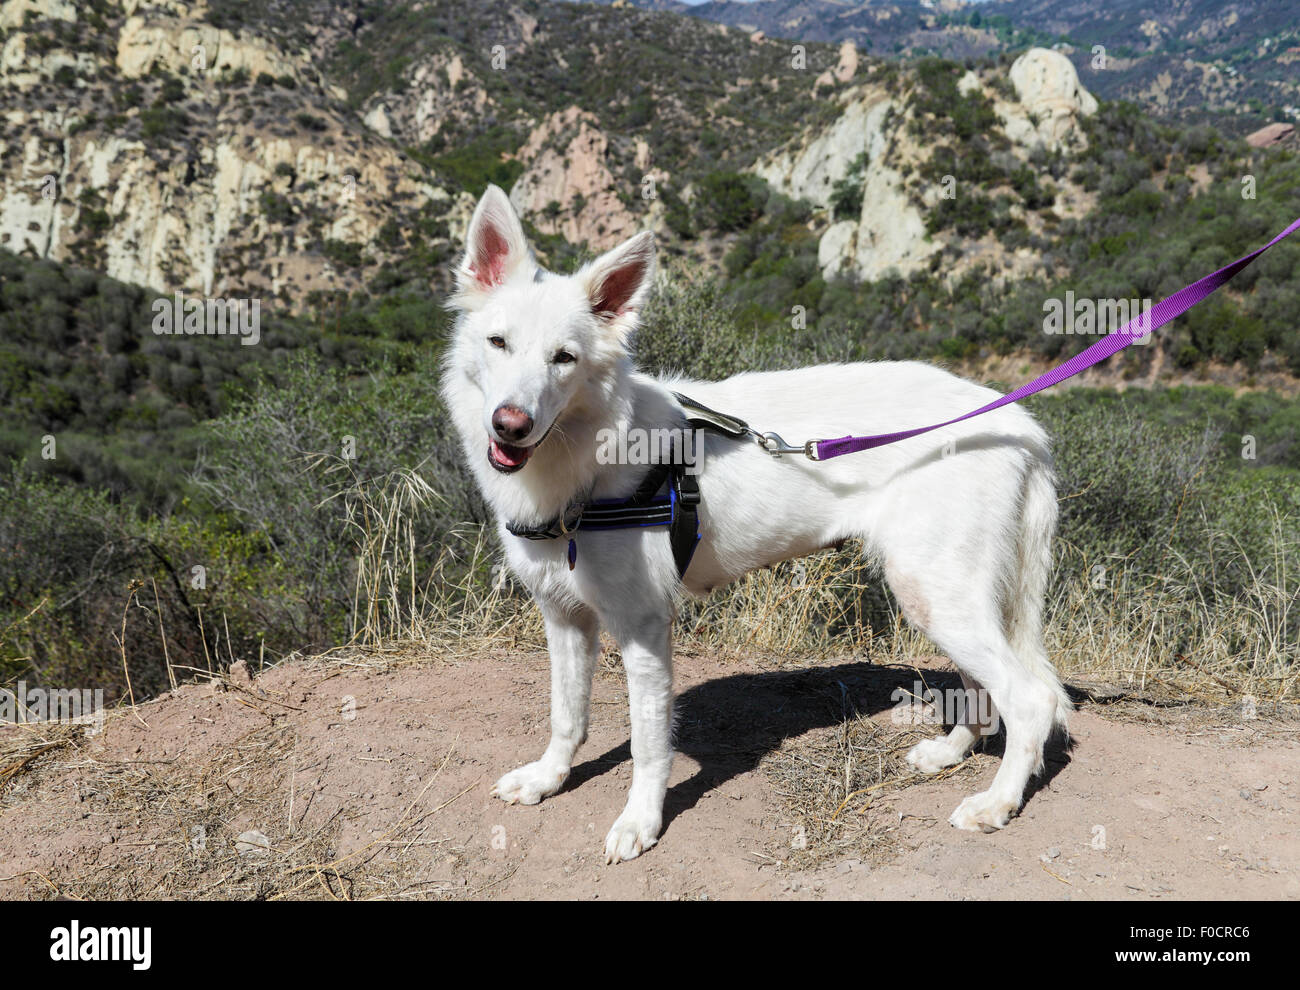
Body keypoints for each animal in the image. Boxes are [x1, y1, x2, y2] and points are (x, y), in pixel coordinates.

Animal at [441, 188, 1071, 862]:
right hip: (945, 597)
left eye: (564, 359)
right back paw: (951, 753)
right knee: (982, 688)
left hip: (935, 593)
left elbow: (647, 745)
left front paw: (640, 821)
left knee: (1031, 699)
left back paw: (996, 803)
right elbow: (567, 717)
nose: (510, 424)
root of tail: (1020, 423)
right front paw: (548, 779)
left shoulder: (643, 627)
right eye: (498, 342)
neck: (588, 460)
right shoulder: (564, 618)